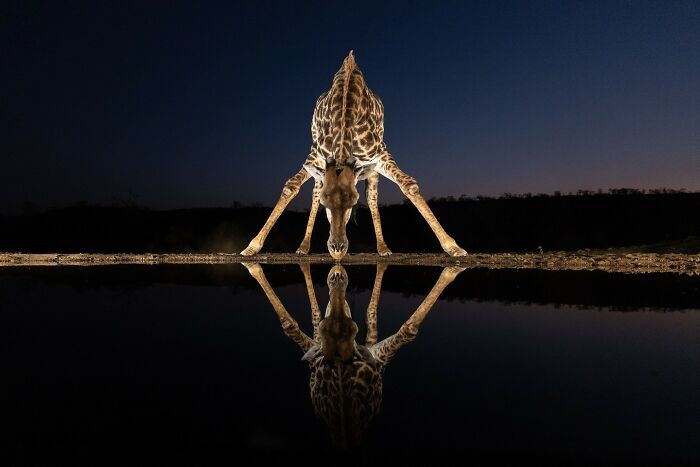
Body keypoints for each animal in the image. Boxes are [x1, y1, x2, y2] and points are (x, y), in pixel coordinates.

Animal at [240, 50, 467, 260]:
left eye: (353, 201)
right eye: (325, 202)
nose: (337, 249)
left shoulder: (380, 154)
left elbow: (408, 184)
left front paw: (453, 247)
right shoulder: (315, 156)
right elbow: (291, 187)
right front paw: (251, 247)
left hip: (371, 166)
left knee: (373, 196)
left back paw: (383, 248)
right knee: (313, 191)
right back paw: (303, 247)